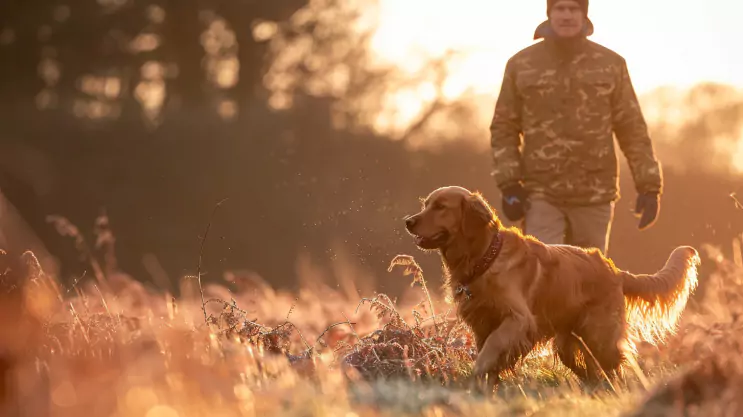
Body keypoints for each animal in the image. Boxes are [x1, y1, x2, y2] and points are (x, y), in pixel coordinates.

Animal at [406, 185, 704, 386]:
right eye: (426, 204)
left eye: (441, 207)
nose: (408, 221)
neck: (484, 258)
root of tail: (615, 270)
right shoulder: (481, 323)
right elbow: (489, 354)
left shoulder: (519, 320)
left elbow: (491, 349)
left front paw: (475, 375)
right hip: (567, 344)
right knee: (592, 370)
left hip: (600, 337)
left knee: (615, 366)